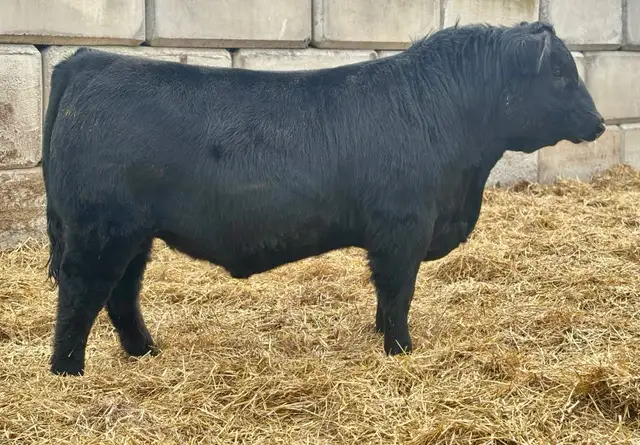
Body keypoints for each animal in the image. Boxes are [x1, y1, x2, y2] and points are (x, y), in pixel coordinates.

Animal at [42, 21, 605, 376]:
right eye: (560, 73)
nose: (599, 122)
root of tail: (92, 59)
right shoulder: (403, 228)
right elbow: (398, 291)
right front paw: (401, 350)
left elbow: (385, 294)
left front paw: (381, 336)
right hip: (102, 230)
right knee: (81, 293)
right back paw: (68, 372)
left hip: (134, 235)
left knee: (121, 295)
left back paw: (145, 353)